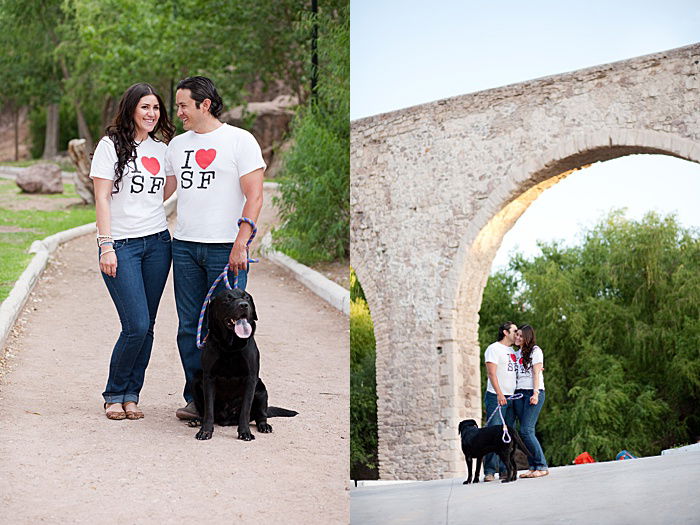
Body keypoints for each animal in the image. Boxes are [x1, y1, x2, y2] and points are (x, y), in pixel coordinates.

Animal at [189, 288, 298, 440]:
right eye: (227, 299)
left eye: (246, 297)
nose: (244, 305)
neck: (230, 346)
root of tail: (226, 420)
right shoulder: (208, 377)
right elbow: (209, 409)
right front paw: (205, 431)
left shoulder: (251, 378)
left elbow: (245, 410)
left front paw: (245, 432)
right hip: (196, 380)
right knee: (204, 411)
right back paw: (196, 420)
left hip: (261, 390)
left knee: (261, 415)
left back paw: (264, 426)